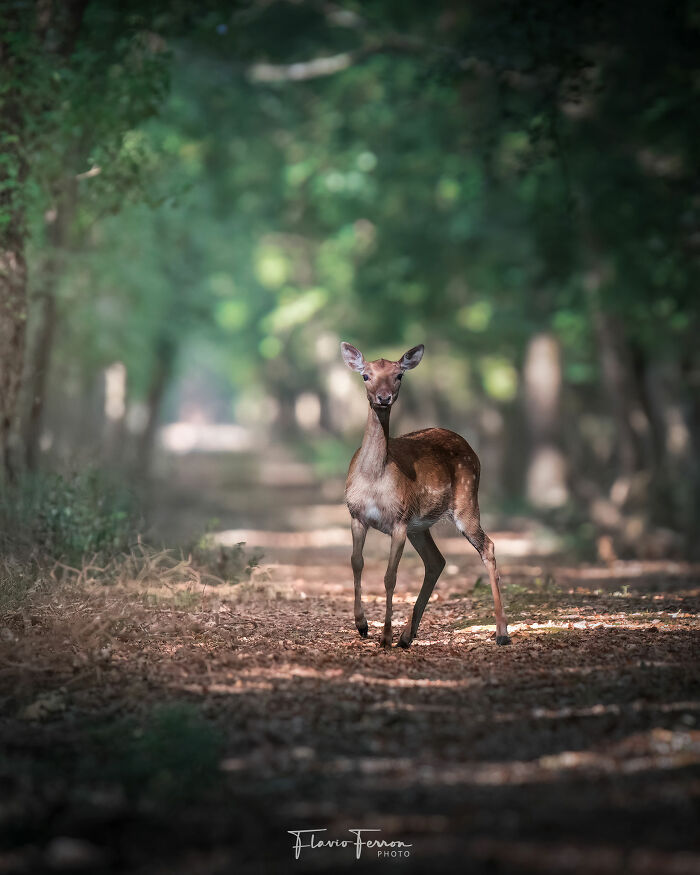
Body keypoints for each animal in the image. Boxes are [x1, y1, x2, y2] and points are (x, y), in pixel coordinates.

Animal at [341, 342, 510, 649]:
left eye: (399, 375)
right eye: (366, 375)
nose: (384, 398)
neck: (374, 478)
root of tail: (469, 446)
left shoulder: (399, 519)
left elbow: (390, 576)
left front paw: (384, 635)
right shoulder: (356, 514)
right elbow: (357, 563)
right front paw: (362, 625)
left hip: (466, 500)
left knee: (488, 547)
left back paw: (502, 633)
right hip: (420, 526)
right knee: (436, 560)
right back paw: (407, 636)